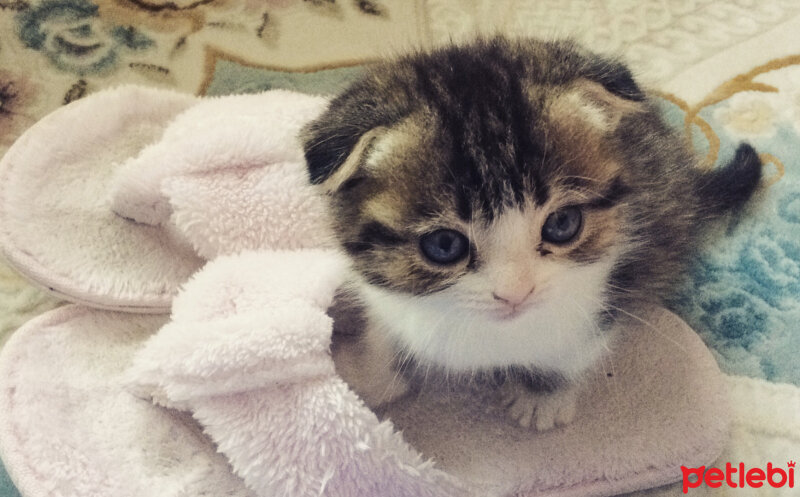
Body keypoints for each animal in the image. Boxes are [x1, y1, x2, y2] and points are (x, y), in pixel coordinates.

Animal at [300, 35, 764, 430]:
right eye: (444, 245)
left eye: (562, 224)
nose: (515, 294)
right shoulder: (384, 293)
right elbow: (387, 336)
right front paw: (368, 377)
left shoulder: (615, 281)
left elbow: (575, 344)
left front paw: (543, 395)